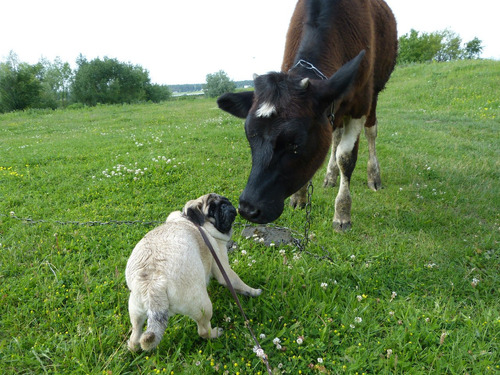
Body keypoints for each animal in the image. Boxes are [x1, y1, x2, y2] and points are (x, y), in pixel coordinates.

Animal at [125, 194, 262, 352]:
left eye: (224, 199)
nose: (225, 205)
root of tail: (153, 284)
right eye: (212, 210)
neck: (191, 220)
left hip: (135, 310)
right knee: (203, 331)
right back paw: (215, 333)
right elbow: (237, 282)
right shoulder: (222, 265)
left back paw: (134, 347)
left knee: (135, 334)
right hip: (202, 305)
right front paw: (253, 291)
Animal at [217, 0, 396, 231]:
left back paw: (374, 175)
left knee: (370, 131)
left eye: (296, 143)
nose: (248, 209)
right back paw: (330, 176)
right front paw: (299, 197)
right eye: (250, 137)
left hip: (374, 94)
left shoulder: (359, 105)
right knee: (335, 136)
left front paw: (342, 212)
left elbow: (346, 158)